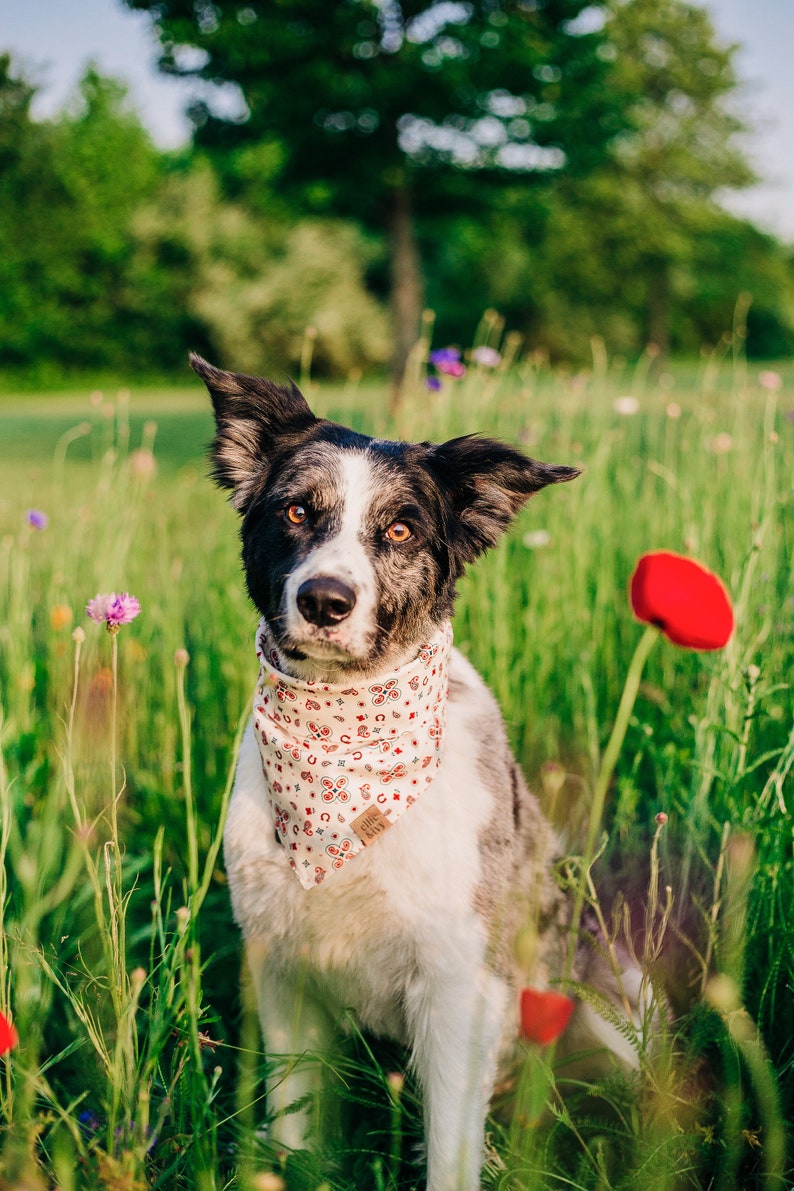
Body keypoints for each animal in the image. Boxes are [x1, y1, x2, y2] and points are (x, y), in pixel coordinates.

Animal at [194, 354, 652, 1191]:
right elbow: (297, 1127)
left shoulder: (458, 984)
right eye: (296, 511)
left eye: (401, 528)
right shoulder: (285, 974)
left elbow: (449, 1149)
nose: (326, 600)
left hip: (609, 1008)